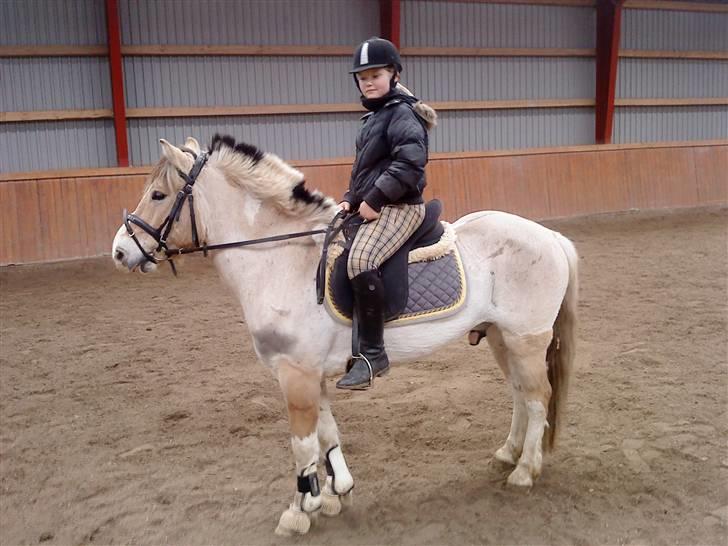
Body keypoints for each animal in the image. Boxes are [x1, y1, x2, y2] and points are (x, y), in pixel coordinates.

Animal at [111, 135, 578, 536]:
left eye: (158, 195)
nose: (119, 251)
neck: (281, 260)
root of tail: (551, 236)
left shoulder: (295, 375)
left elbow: (302, 445)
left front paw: (300, 511)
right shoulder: (310, 375)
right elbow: (327, 434)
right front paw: (335, 493)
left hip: (525, 339)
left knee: (538, 397)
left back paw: (525, 471)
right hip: (502, 338)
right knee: (520, 394)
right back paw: (508, 455)